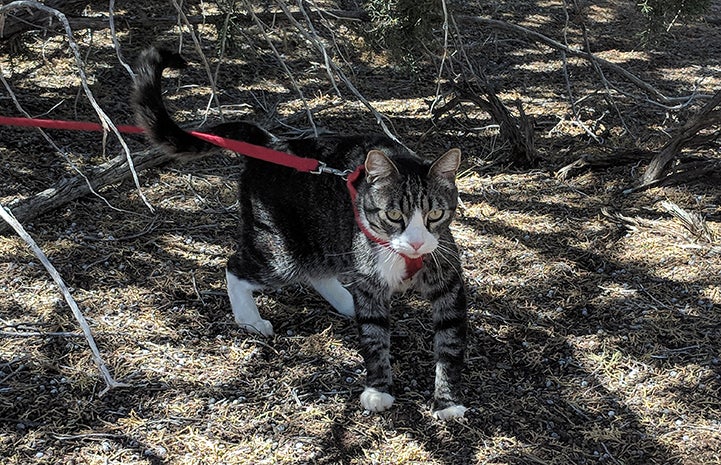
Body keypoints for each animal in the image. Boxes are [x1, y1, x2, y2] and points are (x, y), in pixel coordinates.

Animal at [131, 45, 466, 418]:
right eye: (394, 214)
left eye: (435, 213)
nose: (417, 242)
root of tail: (275, 144)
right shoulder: (370, 275)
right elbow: (374, 336)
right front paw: (378, 389)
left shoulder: (447, 276)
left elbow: (449, 343)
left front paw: (448, 401)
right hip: (281, 249)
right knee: (237, 267)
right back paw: (250, 319)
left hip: (324, 238)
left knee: (318, 273)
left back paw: (346, 302)